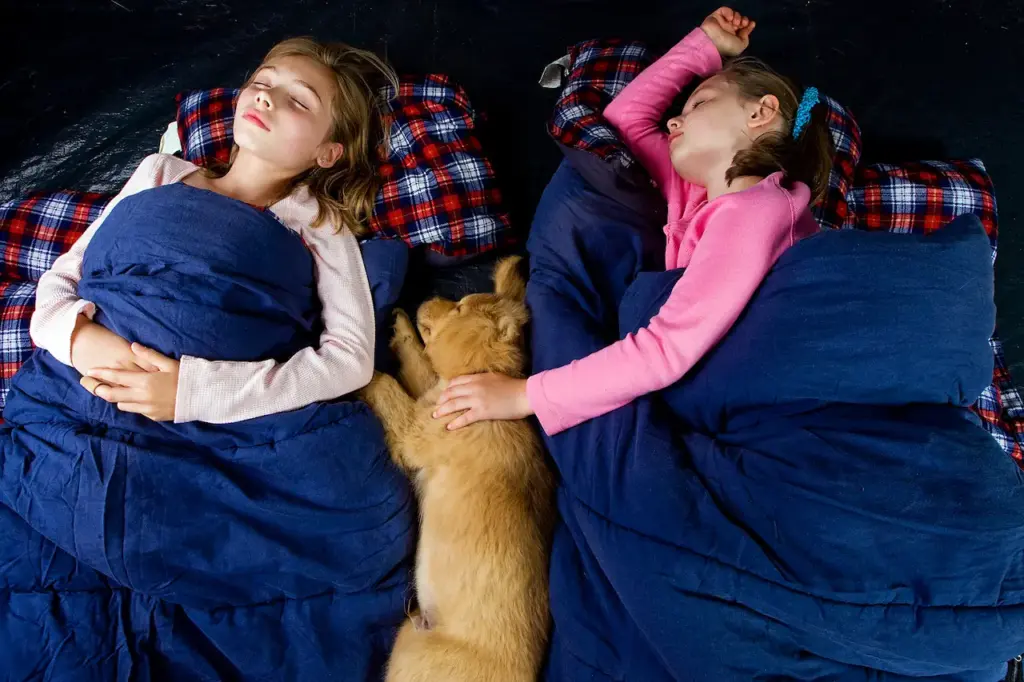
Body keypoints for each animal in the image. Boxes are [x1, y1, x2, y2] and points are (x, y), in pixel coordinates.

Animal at [360, 254, 552, 679]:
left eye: (460, 308)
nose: (427, 297)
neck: (480, 380)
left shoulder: (414, 431)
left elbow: (386, 385)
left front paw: (354, 374)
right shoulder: (430, 396)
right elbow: (418, 363)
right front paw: (401, 329)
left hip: (411, 651)